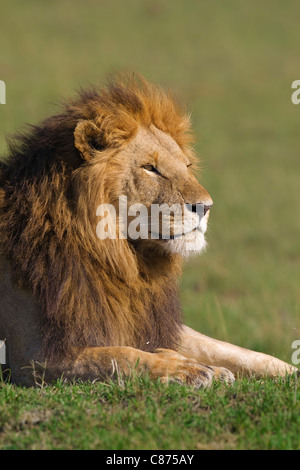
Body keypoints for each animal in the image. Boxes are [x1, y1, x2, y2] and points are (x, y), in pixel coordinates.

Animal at [0, 76, 296, 386]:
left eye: (187, 165)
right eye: (150, 168)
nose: (206, 206)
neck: (122, 263)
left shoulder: (149, 321)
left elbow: (231, 350)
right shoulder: (32, 357)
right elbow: (121, 356)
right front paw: (185, 368)